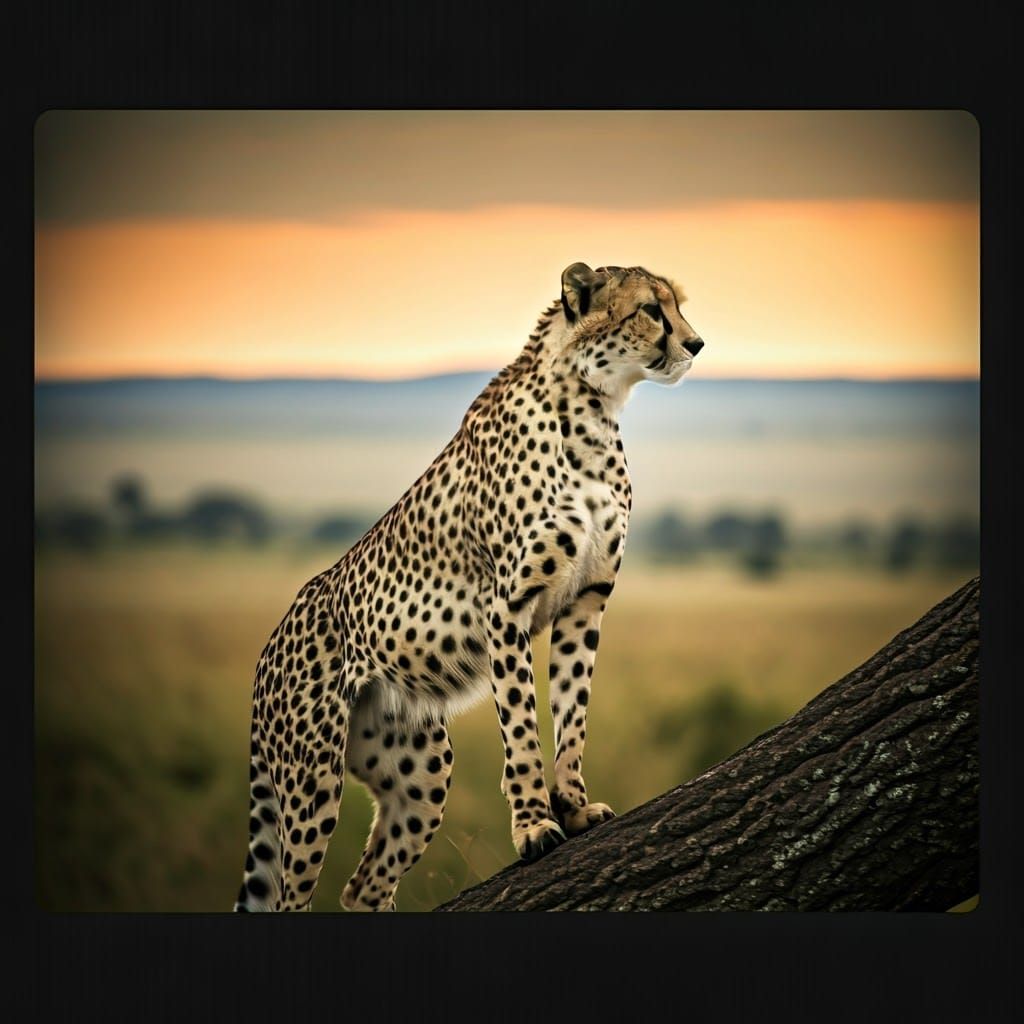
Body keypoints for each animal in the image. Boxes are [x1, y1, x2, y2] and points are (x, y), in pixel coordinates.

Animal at [233, 262, 705, 911]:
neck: (591, 409)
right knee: (291, 895)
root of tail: (267, 649)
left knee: (362, 887)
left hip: (420, 769)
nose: (696, 343)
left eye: (678, 305)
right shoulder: (505, 607)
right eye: (650, 310)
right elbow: (522, 727)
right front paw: (534, 824)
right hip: (311, 780)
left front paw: (575, 806)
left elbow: (573, 714)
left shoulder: (586, 603)